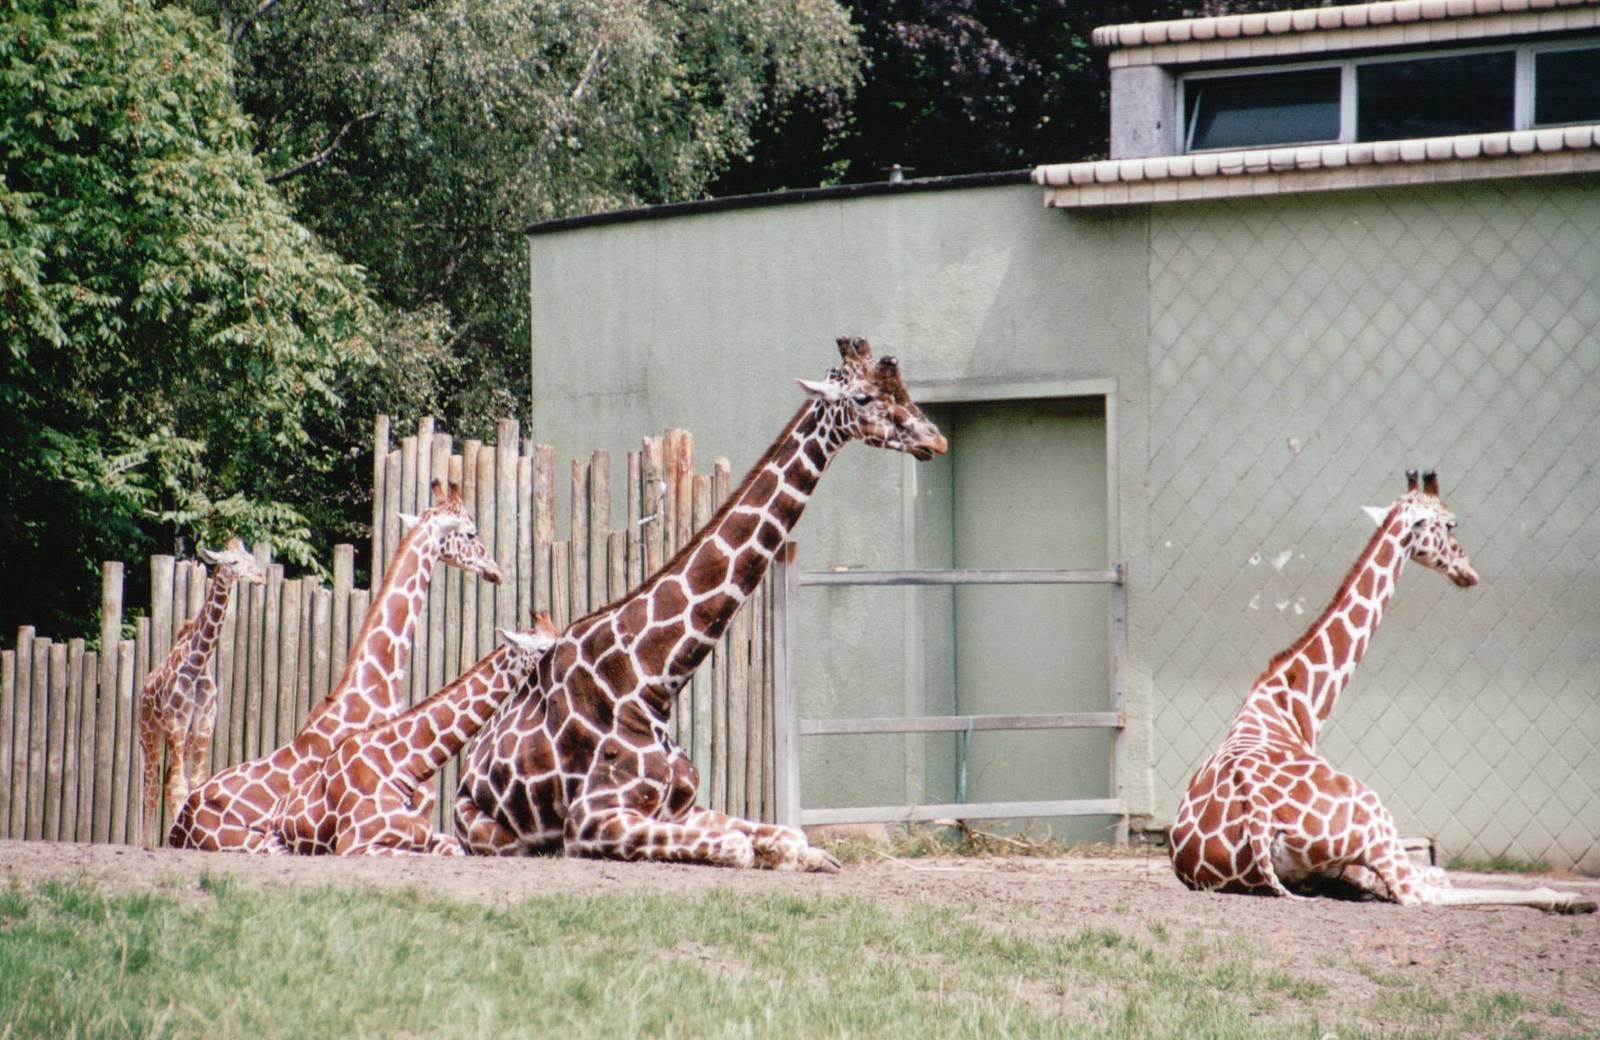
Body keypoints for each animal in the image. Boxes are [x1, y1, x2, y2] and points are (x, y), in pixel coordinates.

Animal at [136, 541, 266, 847]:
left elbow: (195, 782)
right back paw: (145, 842)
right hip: (150, 733)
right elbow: (178, 786)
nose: (261, 577)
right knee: (152, 784)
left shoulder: (204, 722)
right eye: (232, 562)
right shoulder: (176, 723)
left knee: (167, 778)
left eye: (250, 557)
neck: (196, 664)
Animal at [455, 335, 947, 868]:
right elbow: (738, 848)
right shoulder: (590, 822)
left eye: (903, 390)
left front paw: (818, 858)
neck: (651, 680)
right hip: (493, 835)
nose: (936, 439)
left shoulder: (685, 805)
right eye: (862, 398)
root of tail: (468, 767)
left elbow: (788, 837)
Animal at [1170, 470, 1595, 913]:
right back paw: (1567, 898)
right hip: (1375, 816)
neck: (1294, 706)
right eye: (1450, 524)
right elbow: (1433, 878)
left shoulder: (1340, 869)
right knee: (1418, 893)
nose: (1468, 571)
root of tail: (1257, 822)